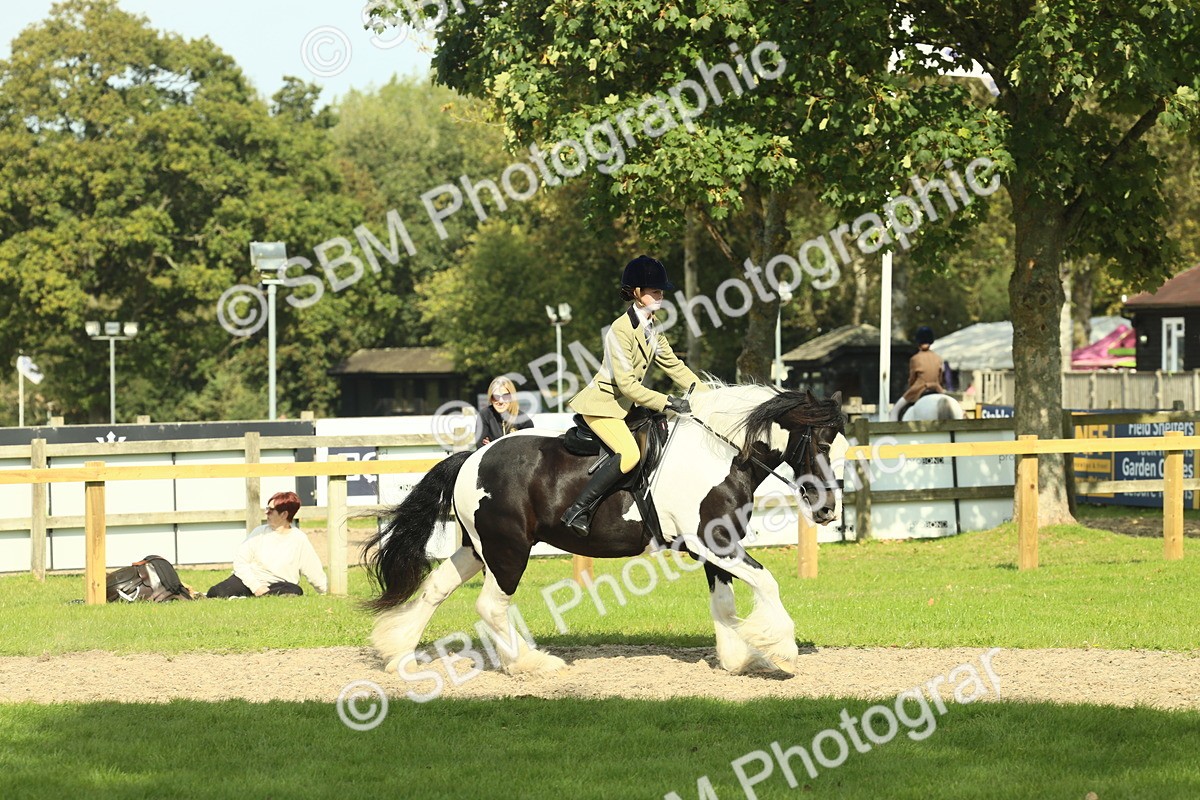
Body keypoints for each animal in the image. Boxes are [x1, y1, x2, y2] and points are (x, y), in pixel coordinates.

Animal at [363, 383, 847, 677]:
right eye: (822, 444)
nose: (827, 511)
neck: (720, 454)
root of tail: (471, 458)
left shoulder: (714, 546)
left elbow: (725, 604)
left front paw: (736, 658)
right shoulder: (718, 544)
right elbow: (766, 582)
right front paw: (781, 648)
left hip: (477, 549)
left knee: (436, 589)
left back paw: (399, 656)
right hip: (508, 552)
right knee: (491, 606)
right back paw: (532, 664)